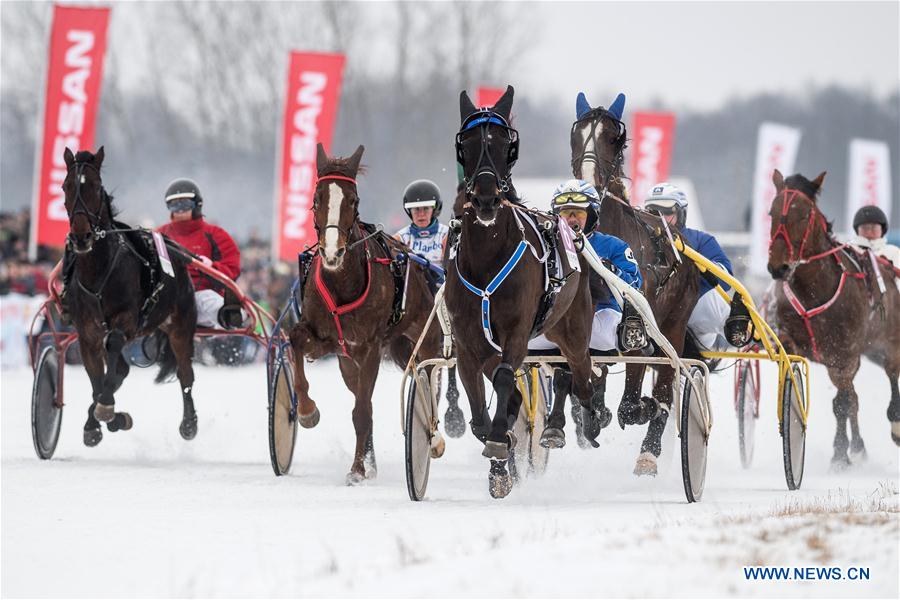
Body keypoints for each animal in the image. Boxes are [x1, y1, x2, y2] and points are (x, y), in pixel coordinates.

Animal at [61, 147, 199, 446]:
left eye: (96, 186)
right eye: (65, 186)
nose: (81, 237)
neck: (99, 272)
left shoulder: (125, 320)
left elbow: (112, 355)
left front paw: (106, 410)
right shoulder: (87, 333)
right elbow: (97, 378)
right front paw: (98, 422)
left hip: (180, 325)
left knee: (185, 373)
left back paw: (189, 423)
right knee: (120, 369)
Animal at [288, 144, 443, 485]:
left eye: (353, 200)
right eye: (316, 198)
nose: (332, 252)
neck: (341, 281)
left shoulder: (370, 346)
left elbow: (362, 411)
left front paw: (358, 469)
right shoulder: (329, 341)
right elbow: (295, 340)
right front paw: (307, 411)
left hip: (424, 337)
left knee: (427, 380)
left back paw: (434, 437)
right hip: (349, 362)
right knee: (362, 393)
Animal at [445, 85, 597, 498]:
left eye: (502, 142)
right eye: (467, 142)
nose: (485, 197)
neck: (487, 257)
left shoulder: (515, 330)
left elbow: (502, 381)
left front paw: (501, 441)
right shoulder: (468, 342)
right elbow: (479, 408)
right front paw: (501, 459)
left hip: (573, 329)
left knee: (579, 373)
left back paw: (587, 418)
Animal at [568, 93, 703, 476]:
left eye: (615, 138)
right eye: (576, 135)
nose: (587, 183)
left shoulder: (639, 331)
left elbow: (632, 403)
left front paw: (644, 408)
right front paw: (593, 413)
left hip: (673, 324)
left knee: (666, 382)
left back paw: (649, 449)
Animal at [766, 169, 900, 466]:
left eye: (804, 214)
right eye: (771, 212)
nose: (778, 267)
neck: (814, 289)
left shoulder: (844, 355)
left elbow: (842, 403)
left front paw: (840, 454)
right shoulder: (799, 341)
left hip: (888, 345)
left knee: (890, 376)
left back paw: (893, 424)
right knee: (854, 396)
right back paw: (859, 446)